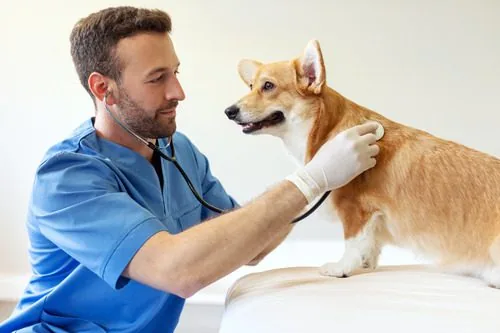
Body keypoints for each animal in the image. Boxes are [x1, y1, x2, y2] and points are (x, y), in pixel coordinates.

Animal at [225, 39, 500, 286]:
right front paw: (366, 265)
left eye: (268, 86)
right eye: (251, 85)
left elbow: (353, 243)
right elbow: (371, 244)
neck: (327, 129)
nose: (229, 111)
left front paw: (341, 268)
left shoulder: (355, 208)